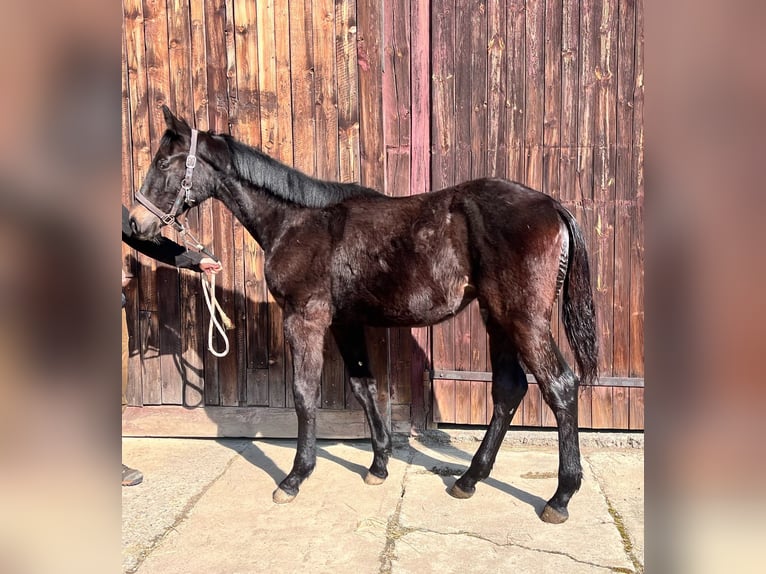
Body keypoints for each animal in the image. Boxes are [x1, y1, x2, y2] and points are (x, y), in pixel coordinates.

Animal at [129, 106, 598, 524]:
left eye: (164, 162)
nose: (135, 223)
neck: (296, 221)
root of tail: (552, 205)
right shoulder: (344, 322)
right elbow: (363, 386)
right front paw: (378, 466)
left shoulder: (305, 318)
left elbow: (305, 393)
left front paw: (295, 478)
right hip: (497, 318)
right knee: (509, 388)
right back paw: (469, 479)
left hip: (523, 319)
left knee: (559, 386)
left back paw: (559, 497)